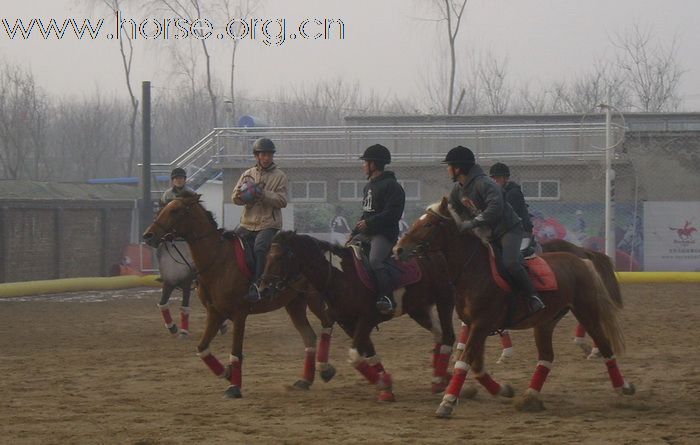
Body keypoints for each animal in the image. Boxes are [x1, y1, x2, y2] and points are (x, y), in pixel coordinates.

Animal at [143, 193, 336, 398]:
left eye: (175, 210)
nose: (148, 235)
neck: (218, 261)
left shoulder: (239, 314)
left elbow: (236, 352)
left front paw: (234, 387)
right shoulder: (215, 312)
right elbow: (202, 348)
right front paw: (227, 373)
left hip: (313, 298)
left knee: (327, 323)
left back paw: (325, 369)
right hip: (294, 303)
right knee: (309, 337)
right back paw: (306, 379)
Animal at [258, 231, 460, 400]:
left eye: (280, 257)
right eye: (266, 256)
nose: (263, 288)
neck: (341, 276)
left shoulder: (366, 320)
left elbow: (355, 356)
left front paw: (382, 383)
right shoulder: (346, 323)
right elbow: (369, 355)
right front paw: (386, 386)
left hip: (445, 300)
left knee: (448, 336)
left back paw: (439, 381)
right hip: (418, 309)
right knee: (439, 334)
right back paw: (442, 376)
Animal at [394, 196, 636, 414]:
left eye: (428, 224)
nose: (398, 249)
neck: (475, 271)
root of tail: (580, 259)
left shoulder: (481, 325)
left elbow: (464, 362)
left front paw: (447, 402)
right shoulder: (474, 325)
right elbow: (476, 366)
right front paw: (502, 389)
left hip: (586, 311)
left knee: (605, 346)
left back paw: (621, 387)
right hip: (546, 322)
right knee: (546, 357)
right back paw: (529, 397)